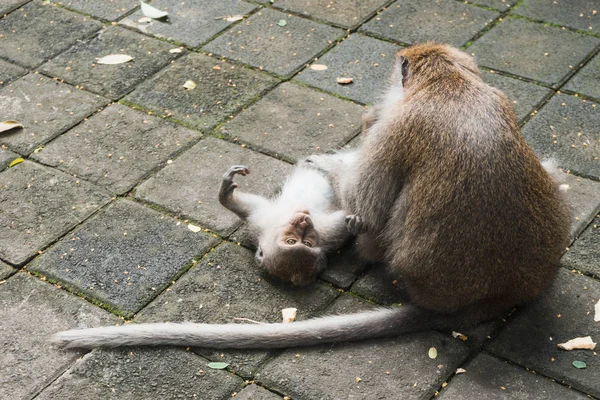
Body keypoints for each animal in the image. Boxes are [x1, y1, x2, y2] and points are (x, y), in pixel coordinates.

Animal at [218, 155, 354, 286]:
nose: (304, 222)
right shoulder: (261, 224)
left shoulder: (327, 234)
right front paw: (226, 195)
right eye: (291, 241)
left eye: (307, 243)